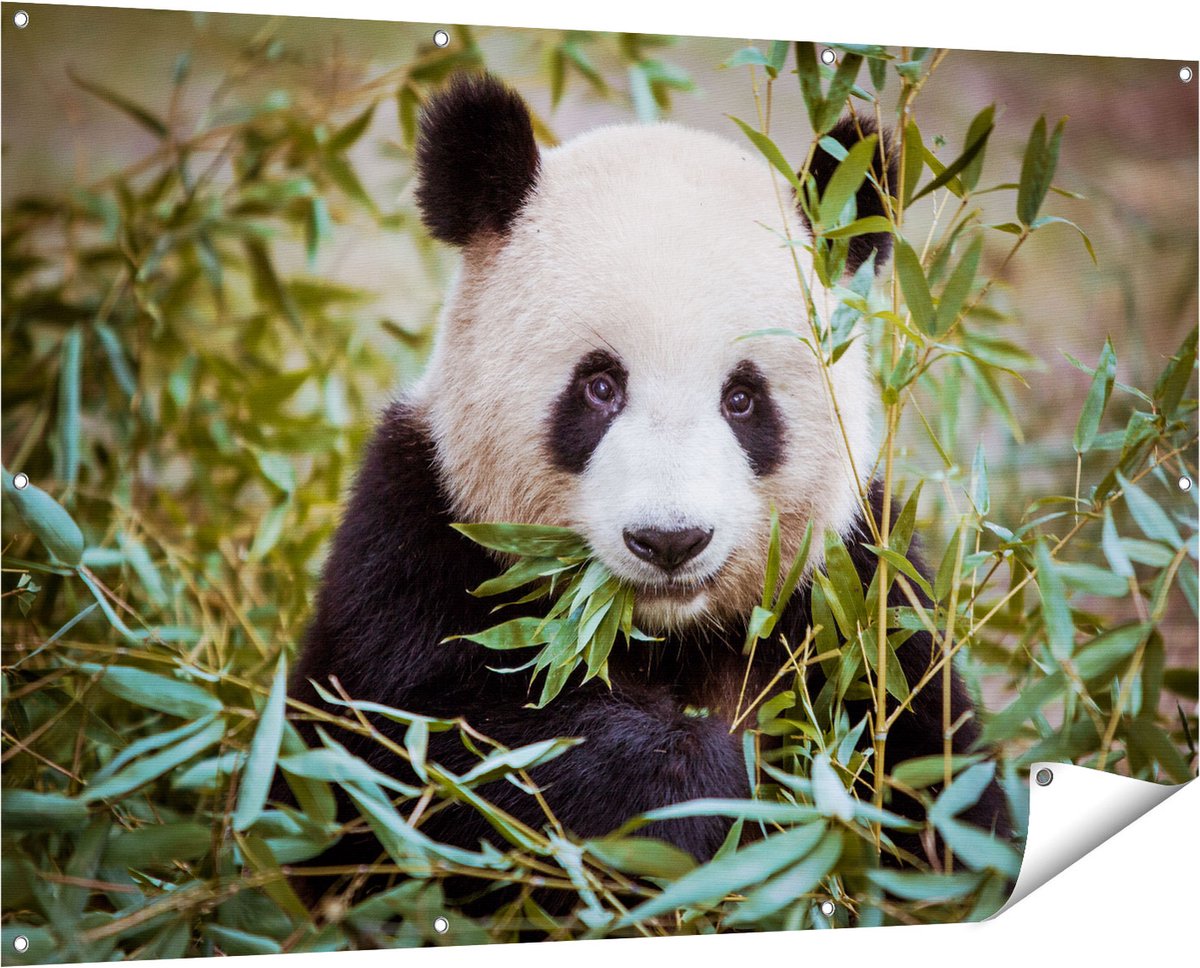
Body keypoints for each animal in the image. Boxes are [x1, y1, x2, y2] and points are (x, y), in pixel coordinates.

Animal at [288, 72, 1010, 896]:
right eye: (600, 387)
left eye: (743, 398)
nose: (670, 540)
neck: (662, 635)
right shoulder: (415, 537)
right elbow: (427, 749)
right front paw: (703, 788)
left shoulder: (862, 595)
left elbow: (940, 788)